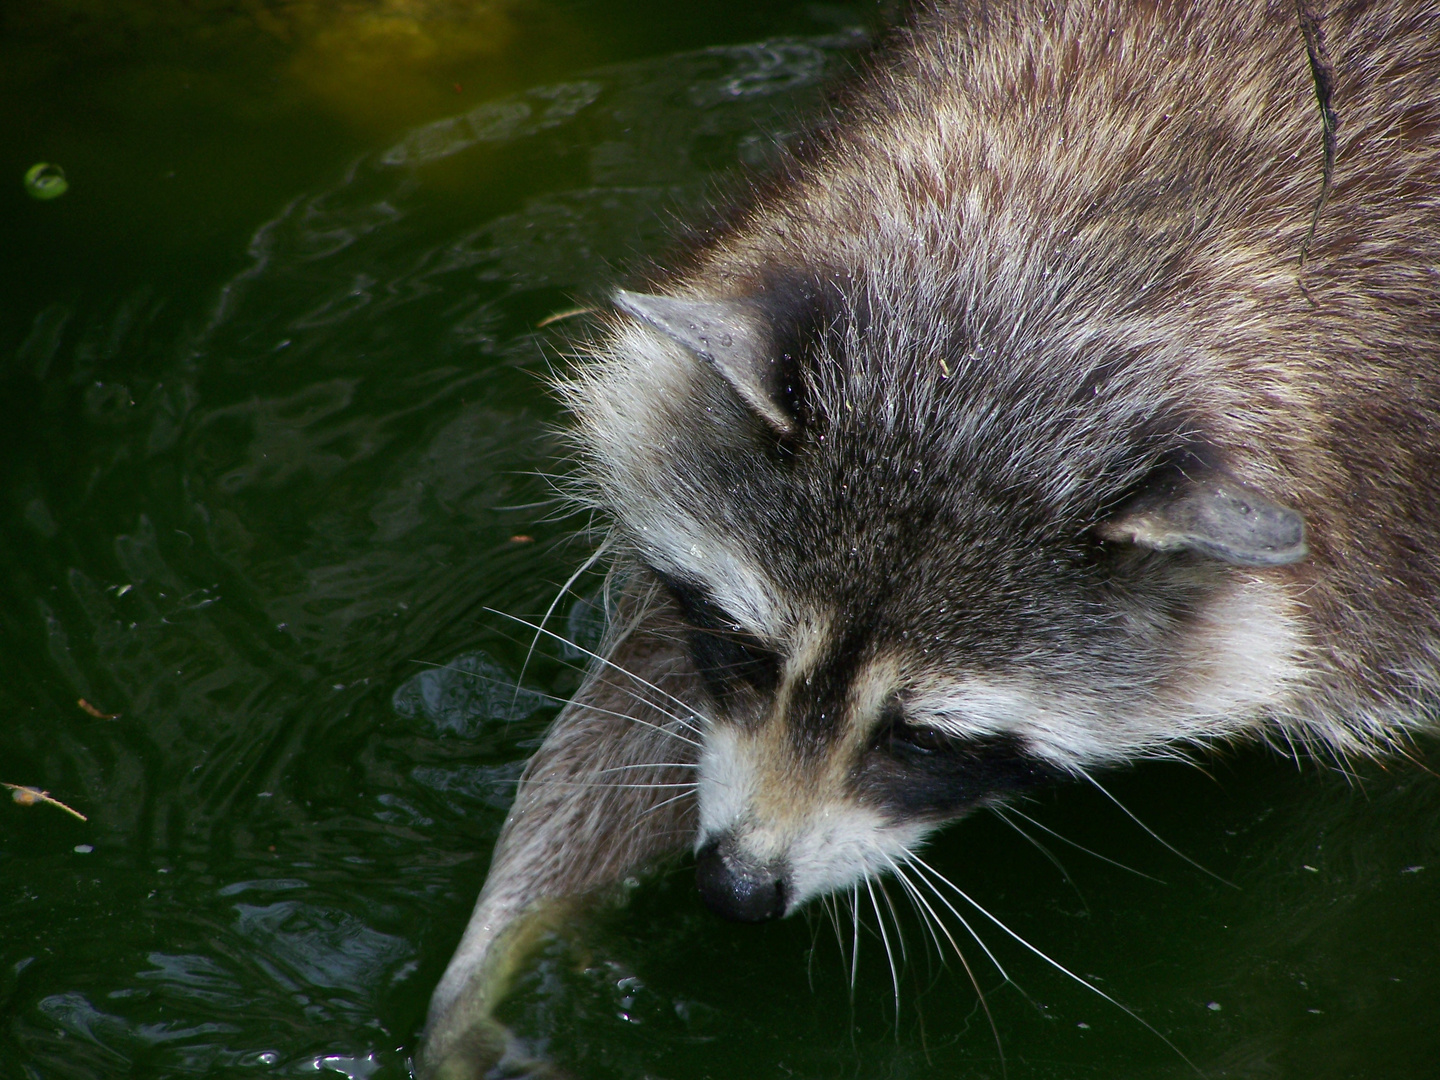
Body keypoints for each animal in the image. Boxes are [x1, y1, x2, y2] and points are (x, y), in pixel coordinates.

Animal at [417, 2, 1440, 1077]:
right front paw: (497, 940)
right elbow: (640, 709)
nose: (735, 888)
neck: (1078, 256)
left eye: (921, 736)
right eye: (749, 653)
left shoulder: (1386, 572)